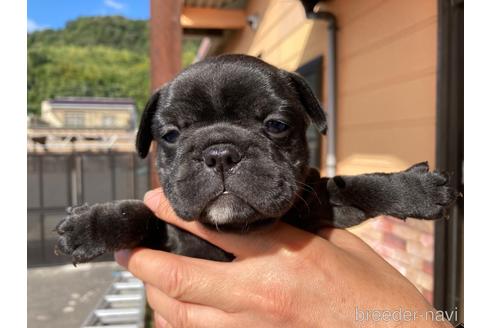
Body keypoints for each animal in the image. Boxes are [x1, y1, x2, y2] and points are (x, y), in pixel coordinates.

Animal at [53, 53, 458, 264]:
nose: (220, 153)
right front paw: (88, 225)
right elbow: (137, 213)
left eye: (276, 125)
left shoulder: (320, 206)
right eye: (170, 135)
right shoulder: (168, 237)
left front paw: (412, 189)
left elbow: (353, 186)